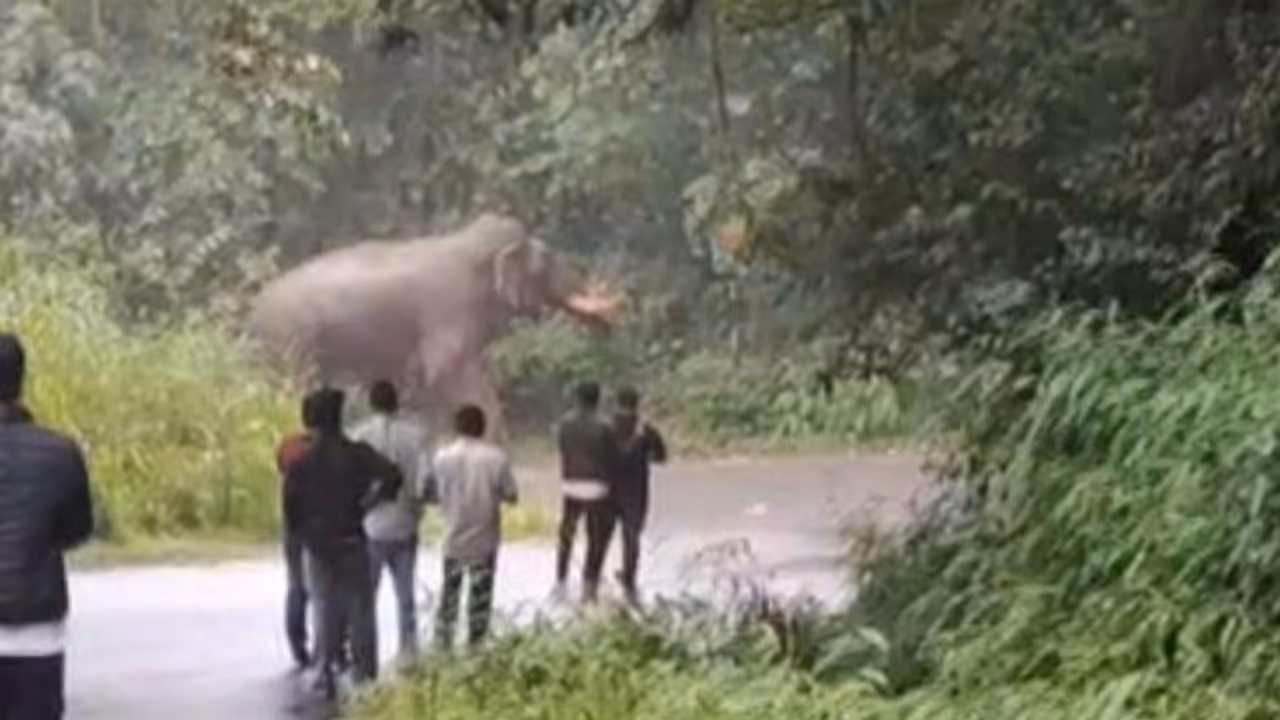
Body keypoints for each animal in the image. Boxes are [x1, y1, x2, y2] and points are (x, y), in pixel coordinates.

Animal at [248, 213, 620, 439]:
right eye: (547, 260)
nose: (608, 326)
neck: (470, 242)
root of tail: (256, 307)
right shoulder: (447, 313)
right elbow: (444, 373)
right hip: (291, 340)